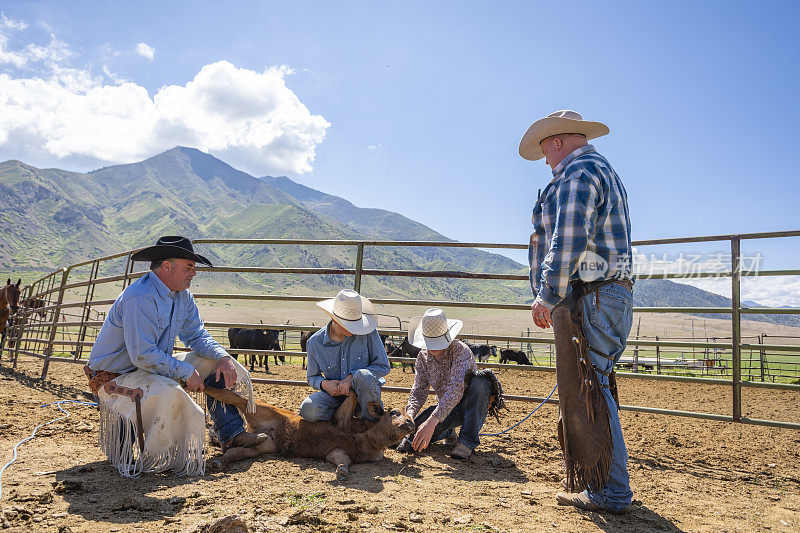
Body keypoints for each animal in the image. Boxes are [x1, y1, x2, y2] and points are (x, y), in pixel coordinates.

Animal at [206, 384, 416, 476]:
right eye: (394, 412)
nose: (411, 422)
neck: (366, 439)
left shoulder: (336, 452)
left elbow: (343, 461)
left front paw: (342, 471)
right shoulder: (341, 418)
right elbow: (352, 396)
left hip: (266, 445)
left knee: (236, 450)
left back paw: (219, 462)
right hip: (257, 406)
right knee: (230, 396)